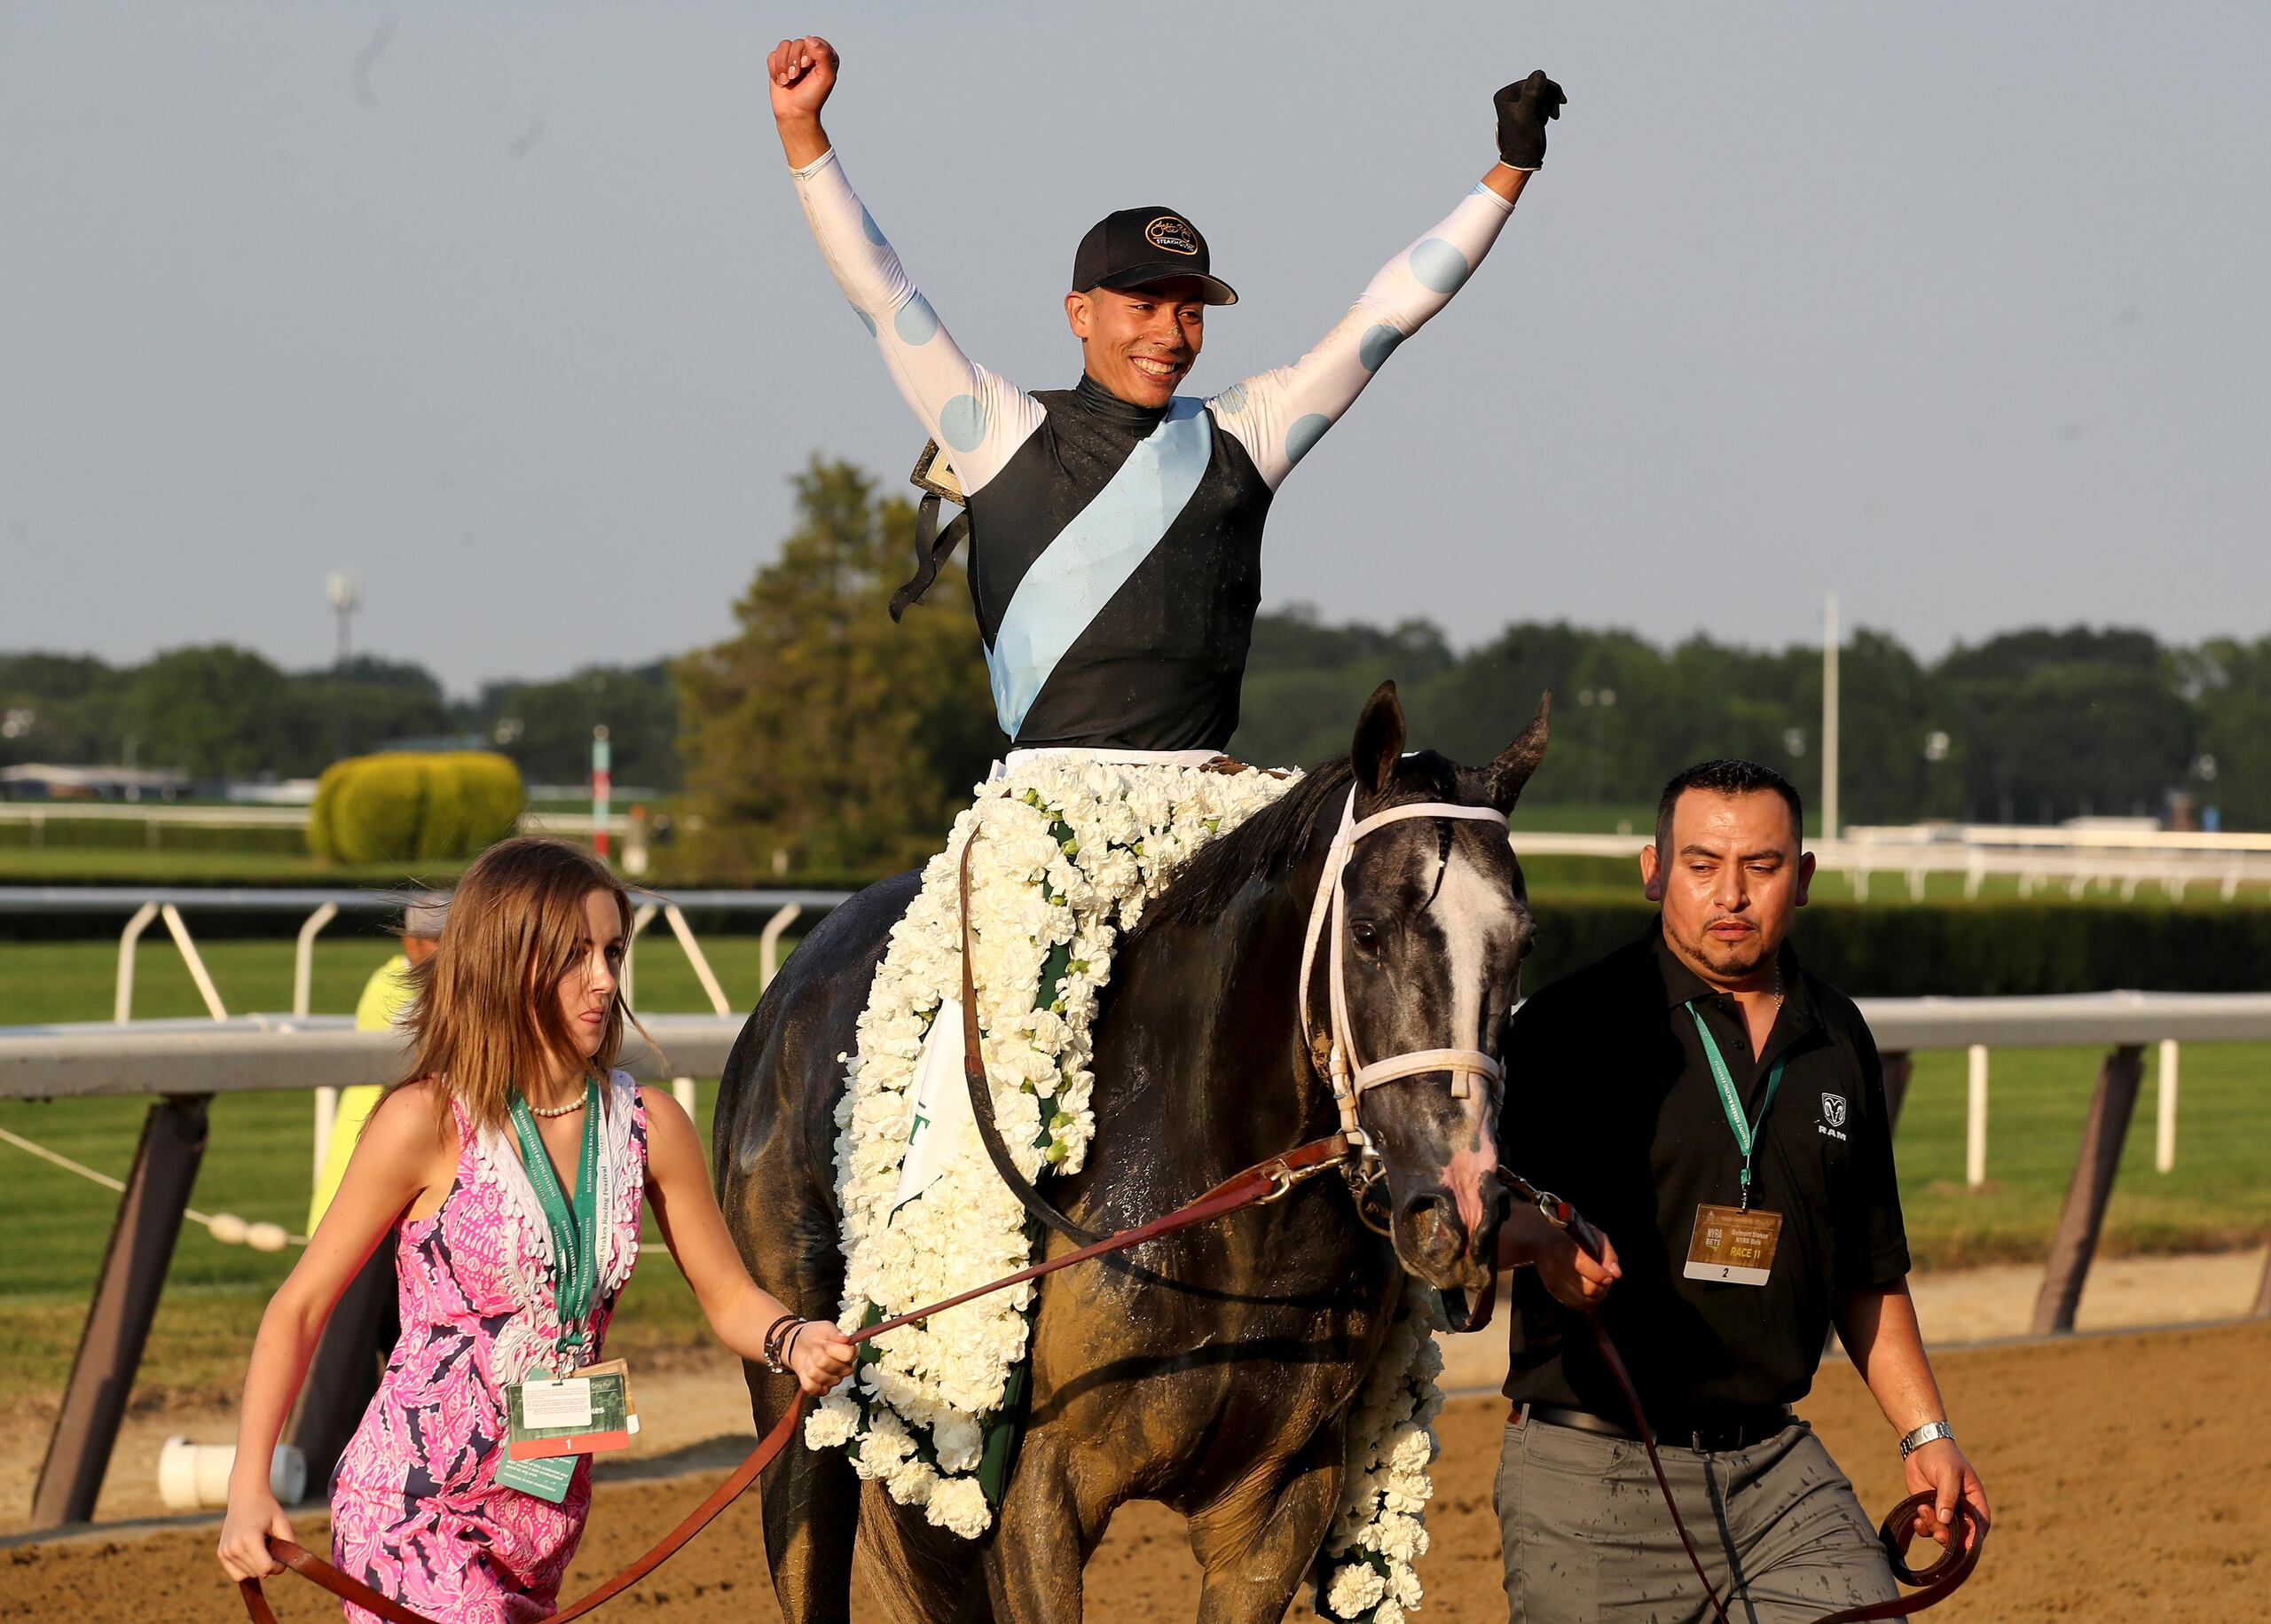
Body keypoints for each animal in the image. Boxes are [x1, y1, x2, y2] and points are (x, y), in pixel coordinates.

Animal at [717, 686, 1553, 1624]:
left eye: (1522, 941)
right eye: (1368, 931)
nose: (1458, 1210)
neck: (1230, 1224)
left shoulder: (1280, 1502)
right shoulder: (1036, 1489)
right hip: (797, 1387)